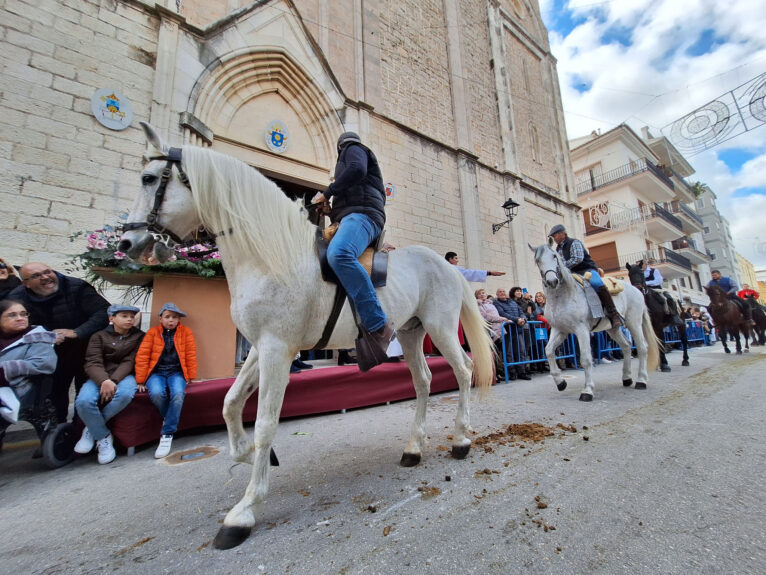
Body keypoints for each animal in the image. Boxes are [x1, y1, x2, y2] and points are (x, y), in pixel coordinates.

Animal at [119, 124, 492, 552]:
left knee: (463, 371)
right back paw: (413, 448)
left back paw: (461, 439)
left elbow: (265, 421)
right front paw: (247, 455)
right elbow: (230, 403)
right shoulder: (261, 348)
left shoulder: (277, 350)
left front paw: (245, 509)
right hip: (411, 333)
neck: (268, 256)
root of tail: (449, 267)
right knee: (424, 381)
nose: (126, 244)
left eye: (149, 178)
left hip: (441, 327)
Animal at [528, 242, 660, 400]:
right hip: (613, 328)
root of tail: (637, 291)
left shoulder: (581, 330)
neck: (563, 296)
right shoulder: (559, 330)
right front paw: (561, 383)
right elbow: (548, 351)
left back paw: (641, 380)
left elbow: (585, 359)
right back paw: (627, 378)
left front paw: (587, 391)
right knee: (627, 346)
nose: (552, 281)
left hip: (634, 323)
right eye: (537, 260)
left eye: (554, 256)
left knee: (642, 348)